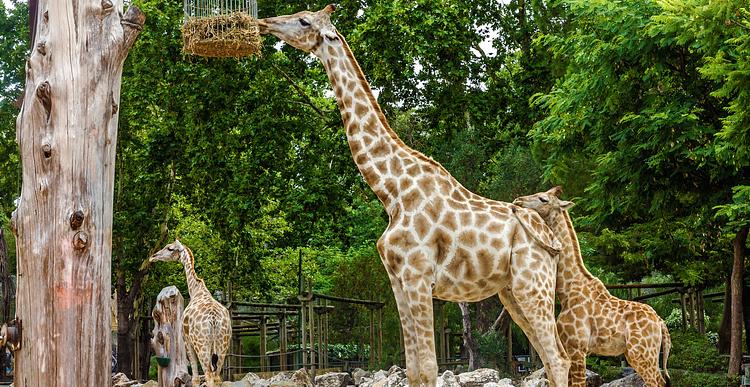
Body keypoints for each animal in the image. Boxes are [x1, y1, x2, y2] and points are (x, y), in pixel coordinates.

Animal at [151, 239, 234, 387]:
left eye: (170, 248)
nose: (153, 256)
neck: (196, 290)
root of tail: (213, 320)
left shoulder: (187, 341)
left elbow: (194, 378)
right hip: (222, 344)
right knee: (217, 377)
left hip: (201, 345)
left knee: (208, 375)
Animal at [258, 6, 568, 387]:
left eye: (304, 20)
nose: (265, 23)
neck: (390, 192)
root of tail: (552, 241)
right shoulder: (398, 281)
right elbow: (414, 368)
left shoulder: (419, 278)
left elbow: (430, 366)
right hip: (512, 292)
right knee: (550, 358)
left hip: (533, 285)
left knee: (558, 358)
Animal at [516, 186, 672, 386]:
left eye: (543, 199)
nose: (518, 200)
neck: (567, 291)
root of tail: (660, 322)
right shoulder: (570, 347)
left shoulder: (577, 347)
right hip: (641, 354)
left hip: (641, 353)